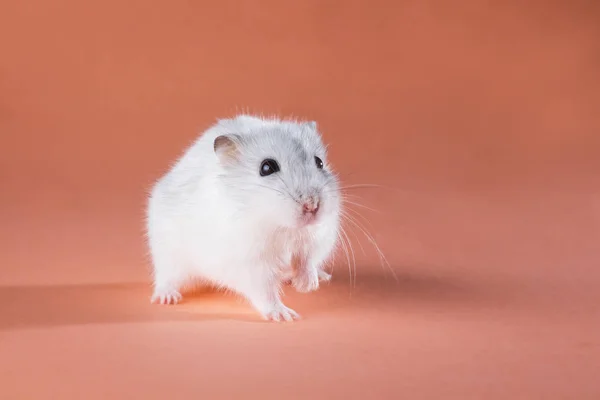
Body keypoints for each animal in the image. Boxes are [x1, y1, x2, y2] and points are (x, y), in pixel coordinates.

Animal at [144, 114, 342, 320]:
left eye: (319, 162)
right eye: (266, 168)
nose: (312, 205)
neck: (280, 225)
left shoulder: (316, 238)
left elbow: (306, 261)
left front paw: (306, 286)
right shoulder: (251, 263)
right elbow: (265, 292)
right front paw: (284, 316)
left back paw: (322, 277)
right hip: (168, 254)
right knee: (166, 278)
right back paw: (167, 297)